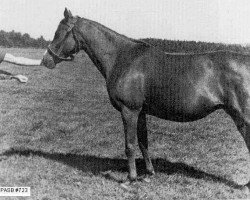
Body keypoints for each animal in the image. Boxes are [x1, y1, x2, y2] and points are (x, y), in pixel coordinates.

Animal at [42, 7, 249, 189]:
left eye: (60, 32)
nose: (46, 60)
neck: (122, 58)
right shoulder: (140, 112)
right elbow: (143, 143)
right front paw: (149, 173)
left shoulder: (129, 110)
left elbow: (130, 145)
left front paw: (130, 178)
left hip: (242, 116)